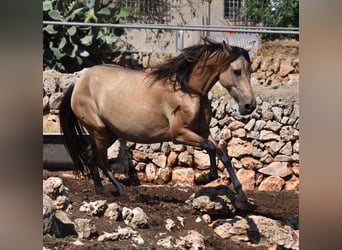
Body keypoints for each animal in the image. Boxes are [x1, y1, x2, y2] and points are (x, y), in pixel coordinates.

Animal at [59, 38, 256, 209]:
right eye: (237, 71)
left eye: (250, 71)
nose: (250, 106)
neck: (187, 90)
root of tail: (78, 83)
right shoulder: (179, 134)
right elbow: (210, 148)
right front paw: (203, 178)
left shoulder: (202, 131)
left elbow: (223, 154)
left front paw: (241, 196)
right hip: (99, 131)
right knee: (102, 161)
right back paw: (121, 190)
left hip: (108, 133)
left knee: (91, 155)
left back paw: (100, 189)